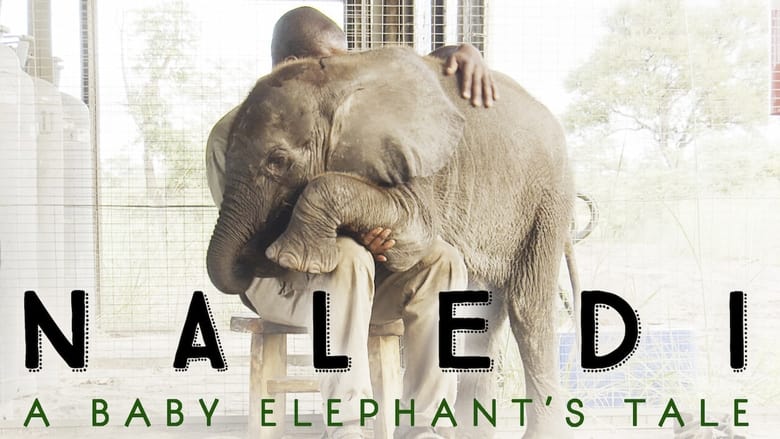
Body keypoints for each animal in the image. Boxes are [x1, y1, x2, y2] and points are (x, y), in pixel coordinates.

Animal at [206, 46, 576, 438]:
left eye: (278, 161)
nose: (260, 254)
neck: (338, 78)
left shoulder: (421, 163)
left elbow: (418, 224)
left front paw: (293, 257)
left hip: (549, 200)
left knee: (527, 306)